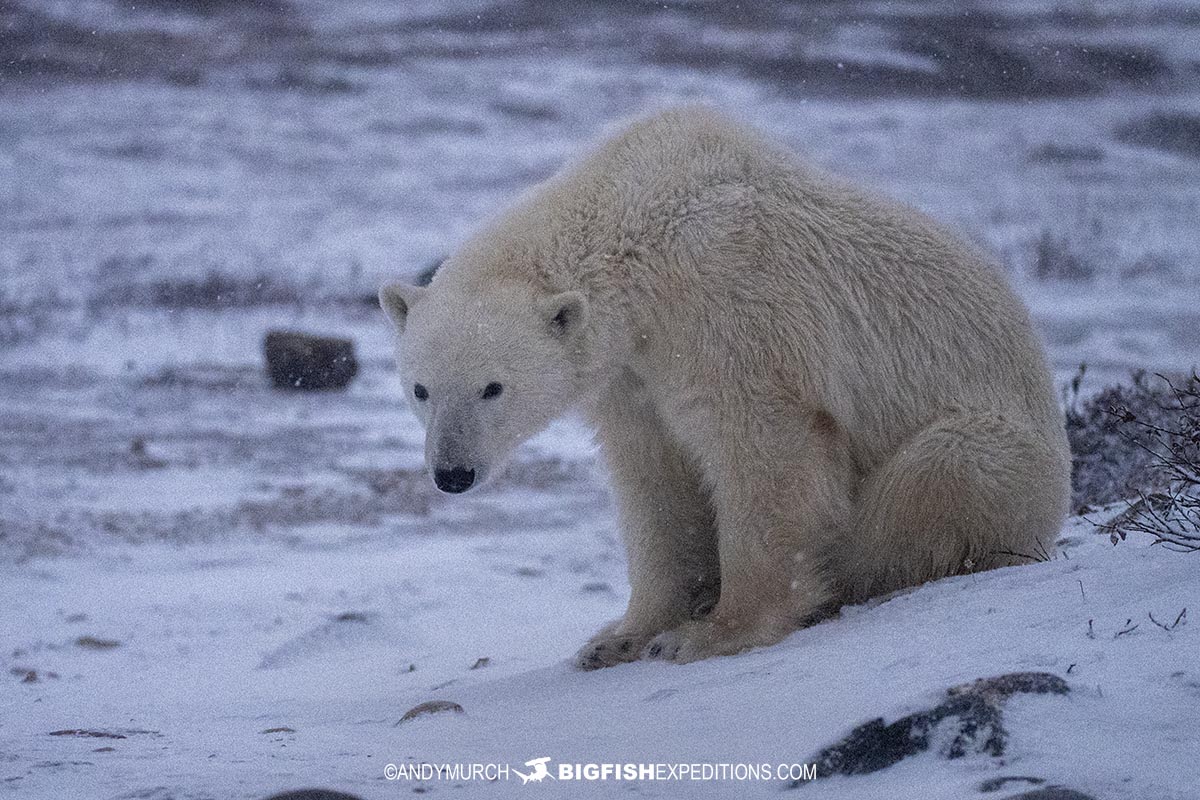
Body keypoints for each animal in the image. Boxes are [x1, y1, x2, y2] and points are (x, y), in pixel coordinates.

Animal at [381, 107, 1070, 671]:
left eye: (493, 388)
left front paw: (710, 633)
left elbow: (765, 449)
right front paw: (620, 637)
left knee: (939, 473)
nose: (452, 473)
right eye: (421, 389)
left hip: (1003, 452)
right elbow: (655, 478)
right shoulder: (632, 373)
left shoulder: (732, 303)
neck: (638, 225)